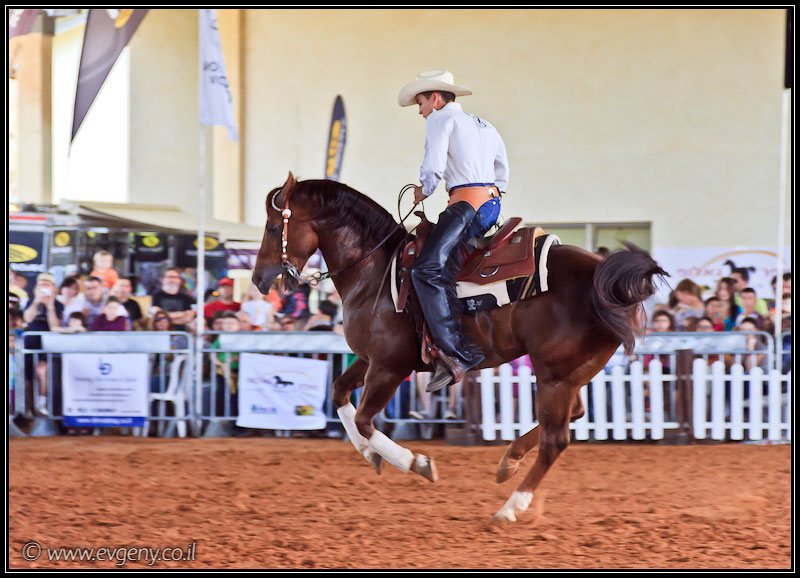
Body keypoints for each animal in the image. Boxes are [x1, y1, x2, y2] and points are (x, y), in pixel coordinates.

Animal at [252, 172, 667, 523]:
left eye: (273, 227)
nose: (258, 279)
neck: (374, 272)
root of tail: (604, 277)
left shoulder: (389, 366)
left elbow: (365, 421)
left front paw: (416, 463)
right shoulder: (370, 359)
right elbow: (340, 395)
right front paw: (372, 456)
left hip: (554, 375)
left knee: (556, 440)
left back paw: (509, 508)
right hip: (569, 373)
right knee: (575, 415)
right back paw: (508, 461)